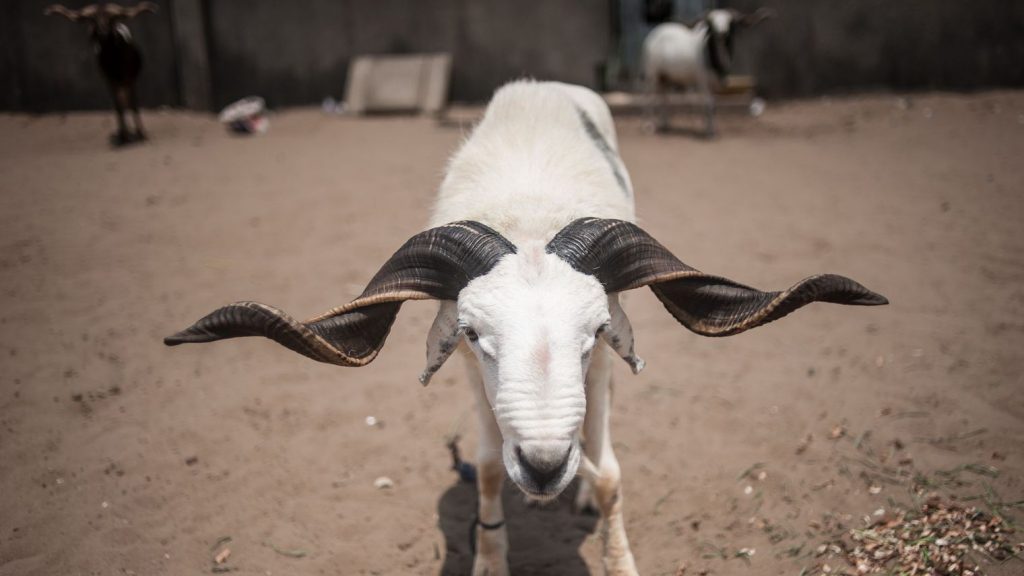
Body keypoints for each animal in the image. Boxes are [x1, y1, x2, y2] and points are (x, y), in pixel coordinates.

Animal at [44, 3, 156, 145]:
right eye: (94, 20)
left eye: (110, 19)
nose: (102, 33)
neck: (114, 60)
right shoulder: (110, 81)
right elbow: (119, 106)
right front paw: (123, 136)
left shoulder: (129, 80)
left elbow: (132, 104)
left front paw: (141, 134)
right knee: (120, 103)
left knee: (128, 101)